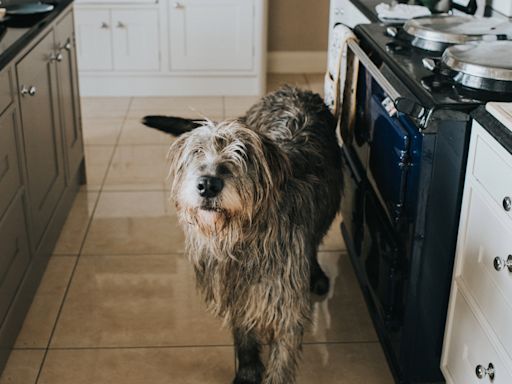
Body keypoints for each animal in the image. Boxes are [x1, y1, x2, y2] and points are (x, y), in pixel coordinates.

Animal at [142, 87, 342, 384]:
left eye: (242, 154)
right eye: (197, 152)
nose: (208, 184)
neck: (241, 236)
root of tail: (295, 89)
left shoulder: (285, 301)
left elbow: (282, 357)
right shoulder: (233, 288)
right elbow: (244, 332)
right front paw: (247, 369)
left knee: (315, 241)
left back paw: (315, 273)